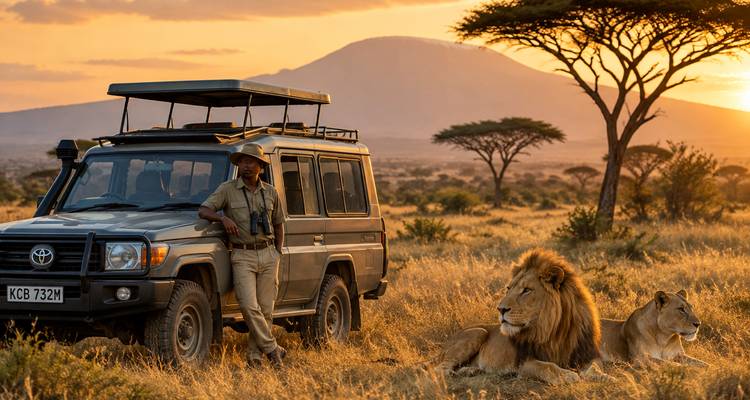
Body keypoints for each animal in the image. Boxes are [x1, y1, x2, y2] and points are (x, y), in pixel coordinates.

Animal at [435, 249, 607, 385]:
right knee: (439, 368)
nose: (500, 309)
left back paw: (470, 371)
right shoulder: (525, 363)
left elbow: (596, 367)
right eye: (508, 288)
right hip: (477, 332)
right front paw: (567, 375)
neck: (555, 329)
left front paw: (605, 377)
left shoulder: (587, 354)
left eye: (526, 290)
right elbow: (548, 366)